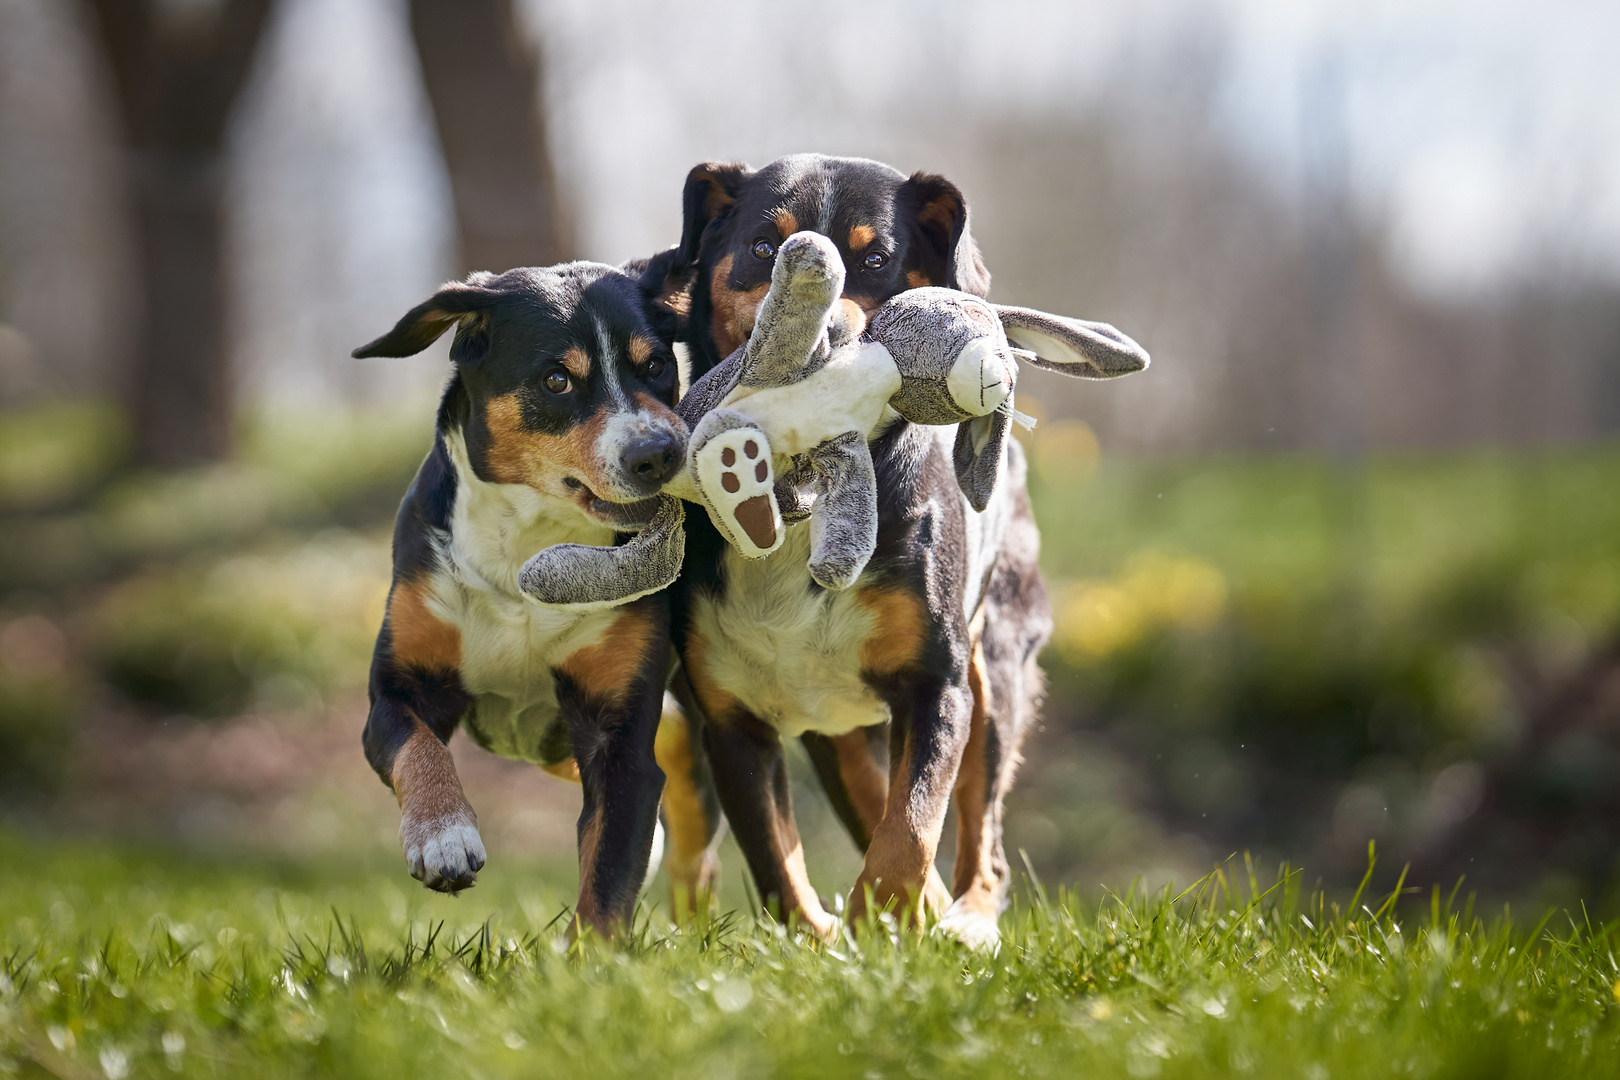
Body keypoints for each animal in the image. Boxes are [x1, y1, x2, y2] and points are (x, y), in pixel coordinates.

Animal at [354, 263, 716, 939]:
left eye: (655, 365)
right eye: (557, 380)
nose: (657, 453)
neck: (530, 560)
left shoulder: (617, 736)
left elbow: (606, 881)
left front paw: (590, 959)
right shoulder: (399, 689)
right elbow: (417, 747)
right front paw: (443, 838)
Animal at [641, 153, 1075, 945]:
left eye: (875, 260)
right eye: (764, 247)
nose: (825, 338)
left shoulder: (937, 683)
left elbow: (910, 828)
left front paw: (883, 921)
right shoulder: (731, 717)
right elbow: (780, 862)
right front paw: (825, 941)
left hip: (995, 662)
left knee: (983, 834)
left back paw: (967, 922)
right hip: (834, 726)